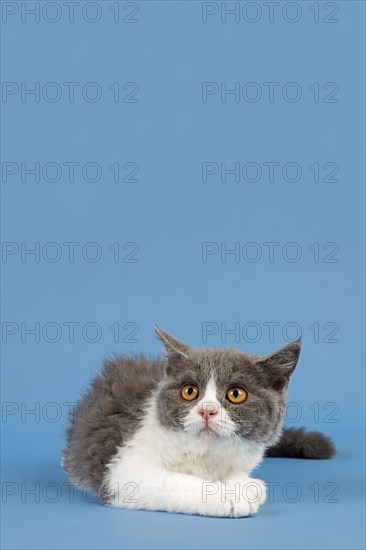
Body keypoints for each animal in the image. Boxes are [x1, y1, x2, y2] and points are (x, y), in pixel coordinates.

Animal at [62, 326, 334, 520]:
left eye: (236, 394)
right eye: (190, 391)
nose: (207, 411)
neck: (205, 452)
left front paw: (245, 484)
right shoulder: (123, 468)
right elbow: (175, 482)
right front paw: (231, 496)